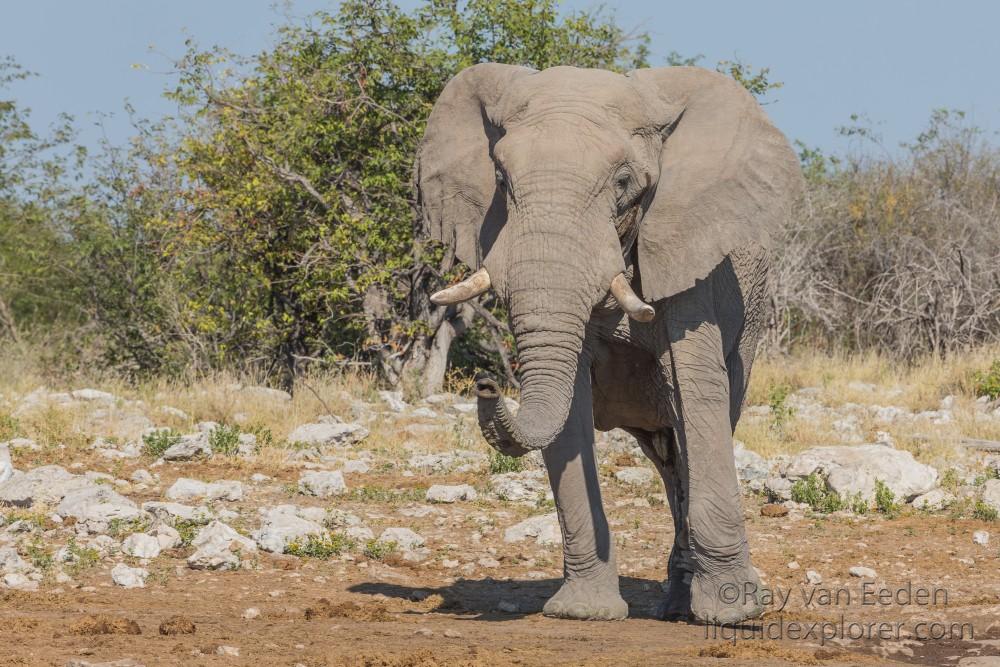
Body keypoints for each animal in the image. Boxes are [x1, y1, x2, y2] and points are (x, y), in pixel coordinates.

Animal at [414, 65, 804, 624]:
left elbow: (697, 394)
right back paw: (675, 602)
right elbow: (570, 411)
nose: (486, 383)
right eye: (502, 180)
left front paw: (735, 614)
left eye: (624, 183)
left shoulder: (690, 262)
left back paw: (687, 606)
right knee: (667, 457)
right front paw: (582, 613)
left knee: (695, 432)